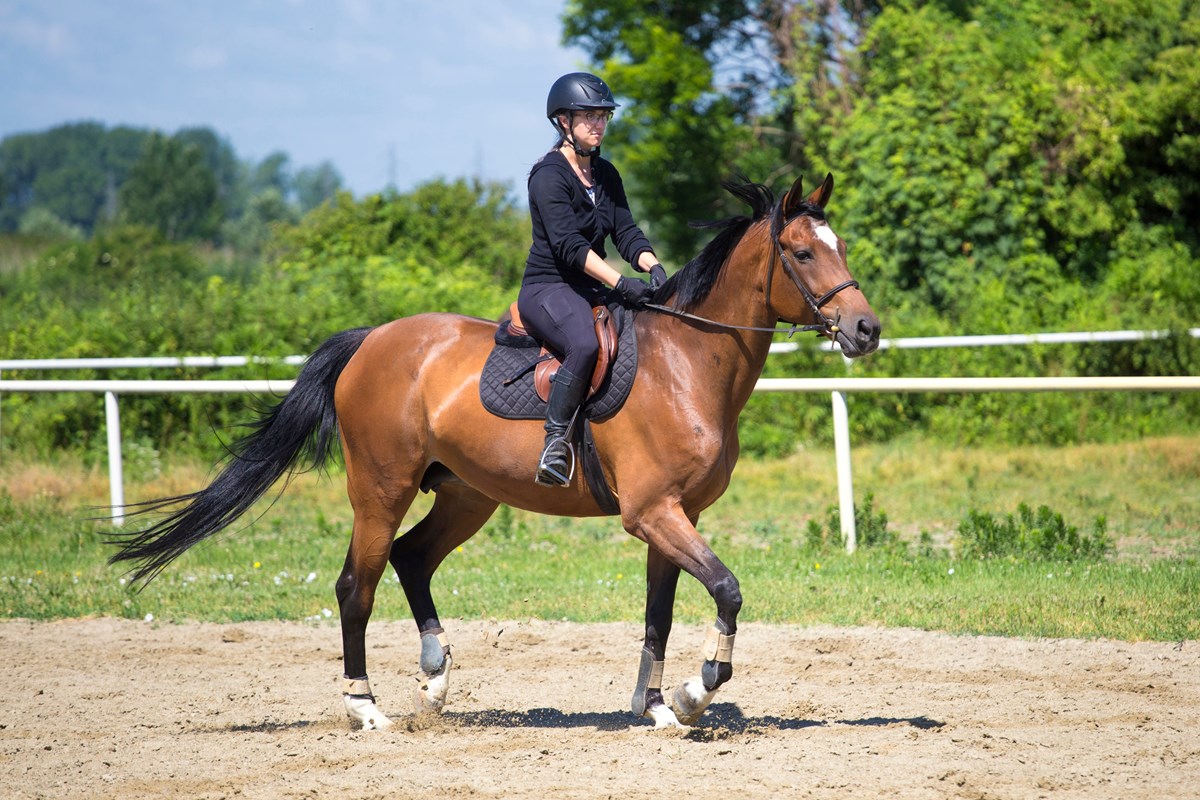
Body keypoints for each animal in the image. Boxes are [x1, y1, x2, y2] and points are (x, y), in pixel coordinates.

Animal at [109, 172, 880, 730]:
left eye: (841, 246)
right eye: (803, 253)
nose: (866, 330)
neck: (687, 363)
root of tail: (370, 340)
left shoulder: (675, 516)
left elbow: (659, 615)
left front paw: (659, 707)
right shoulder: (653, 514)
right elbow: (727, 590)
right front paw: (697, 693)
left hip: (465, 495)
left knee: (411, 558)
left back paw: (435, 679)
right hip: (381, 491)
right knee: (356, 585)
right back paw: (365, 708)